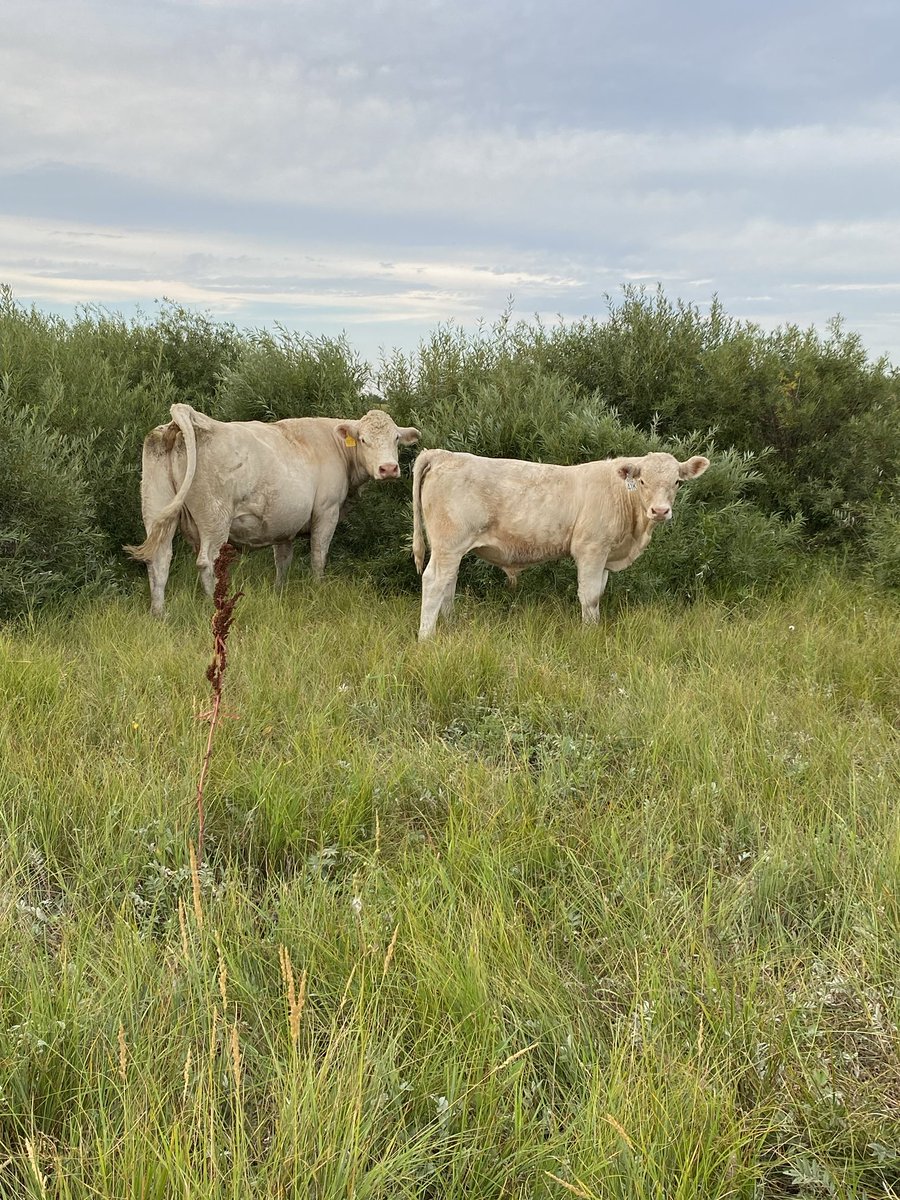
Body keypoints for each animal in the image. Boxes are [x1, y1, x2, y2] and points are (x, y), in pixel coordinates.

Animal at [126, 403, 419, 616]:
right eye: (363, 439)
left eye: (395, 438)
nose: (388, 468)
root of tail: (186, 417)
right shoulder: (327, 512)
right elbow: (318, 556)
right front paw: (317, 589)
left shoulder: (284, 523)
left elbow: (283, 561)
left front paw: (280, 593)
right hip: (215, 517)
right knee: (206, 561)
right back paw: (214, 606)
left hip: (156, 508)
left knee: (159, 560)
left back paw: (159, 614)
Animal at [412, 448, 710, 639]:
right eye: (642, 480)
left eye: (677, 482)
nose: (660, 511)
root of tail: (442, 454)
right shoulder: (591, 548)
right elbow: (589, 596)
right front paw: (589, 635)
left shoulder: (605, 555)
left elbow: (598, 593)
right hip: (449, 543)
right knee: (434, 582)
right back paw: (427, 637)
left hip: (450, 548)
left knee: (448, 583)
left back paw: (450, 626)